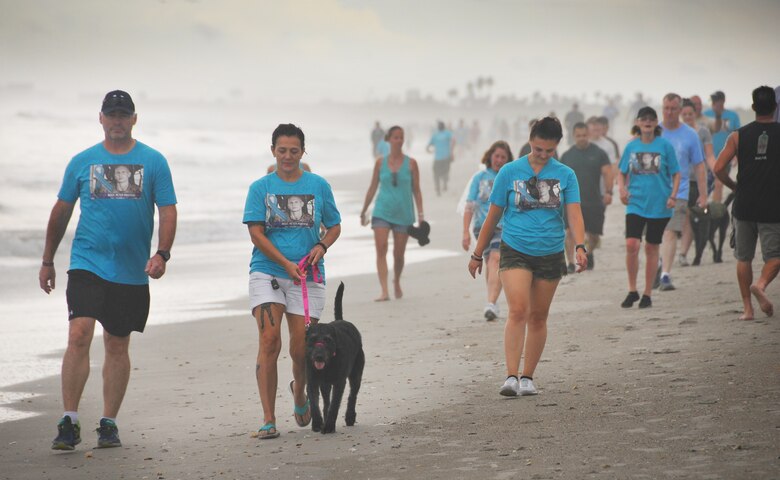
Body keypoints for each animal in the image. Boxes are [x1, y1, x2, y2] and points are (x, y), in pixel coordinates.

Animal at [304, 282, 366, 436]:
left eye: (328, 340)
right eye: (312, 339)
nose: (319, 356)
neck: (329, 364)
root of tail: (341, 320)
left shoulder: (339, 383)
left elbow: (335, 404)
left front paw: (329, 426)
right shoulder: (312, 382)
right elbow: (314, 404)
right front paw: (318, 423)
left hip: (356, 374)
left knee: (352, 395)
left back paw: (350, 416)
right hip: (325, 385)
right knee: (326, 401)